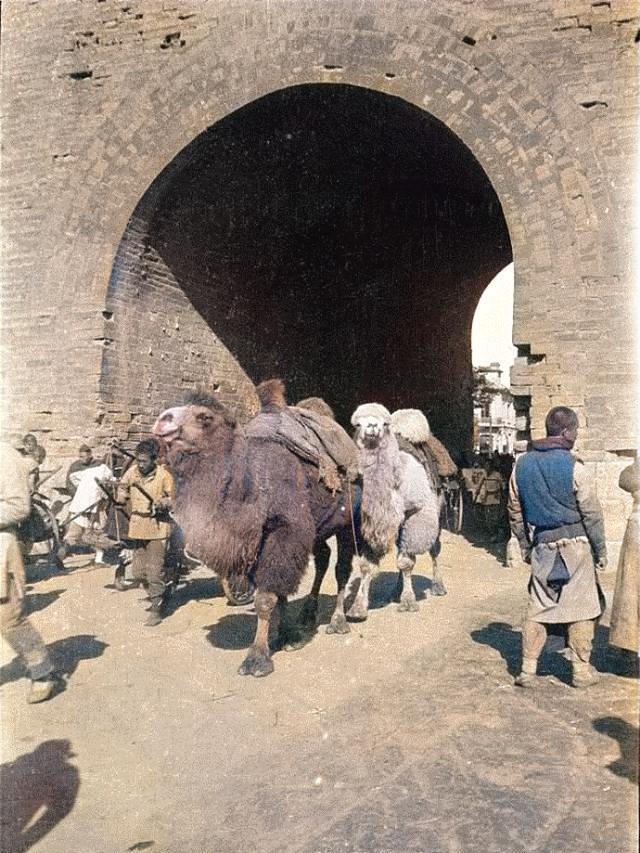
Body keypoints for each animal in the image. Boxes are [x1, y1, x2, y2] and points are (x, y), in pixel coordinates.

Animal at [152, 382, 358, 676]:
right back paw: (308, 615)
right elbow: (279, 593)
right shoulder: (263, 542)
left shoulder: (284, 532)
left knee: (342, 568)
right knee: (322, 559)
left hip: (347, 520)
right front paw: (287, 635)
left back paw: (338, 622)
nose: (163, 419)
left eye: (205, 417)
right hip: (318, 526)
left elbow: (265, 598)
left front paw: (257, 658)